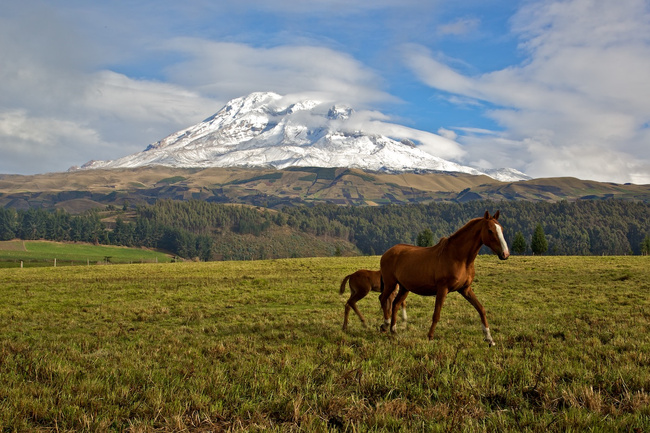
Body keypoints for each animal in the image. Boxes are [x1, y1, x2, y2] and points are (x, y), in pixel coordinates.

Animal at [378, 209, 508, 344]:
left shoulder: (465, 289)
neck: (459, 258)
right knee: (383, 298)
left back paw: (393, 330)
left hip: (404, 288)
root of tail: (387, 252)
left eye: (501, 229)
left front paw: (489, 339)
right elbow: (436, 314)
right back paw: (385, 325)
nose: (505, 254)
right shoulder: (442, 289)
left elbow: (481, 309)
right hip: (390, 283)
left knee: (395, 304)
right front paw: (430, 336)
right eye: (490, 230)